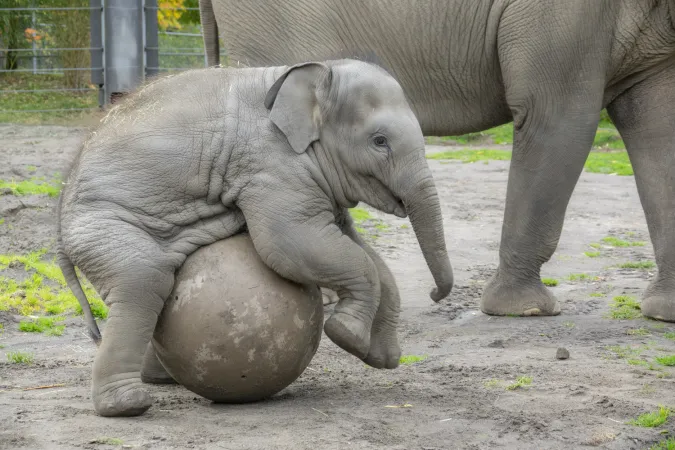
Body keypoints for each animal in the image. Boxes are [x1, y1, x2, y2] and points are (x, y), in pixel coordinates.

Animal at [56, 58, 454, 417]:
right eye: (380, 141)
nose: (435, 294)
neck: (312, 74)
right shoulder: (270, 166)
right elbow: (292, 243)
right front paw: (346, 335)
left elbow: (359, 251)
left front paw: (382, 358)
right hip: (103, 226)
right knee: (142, 282)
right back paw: (127, 406)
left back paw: (159, 381)